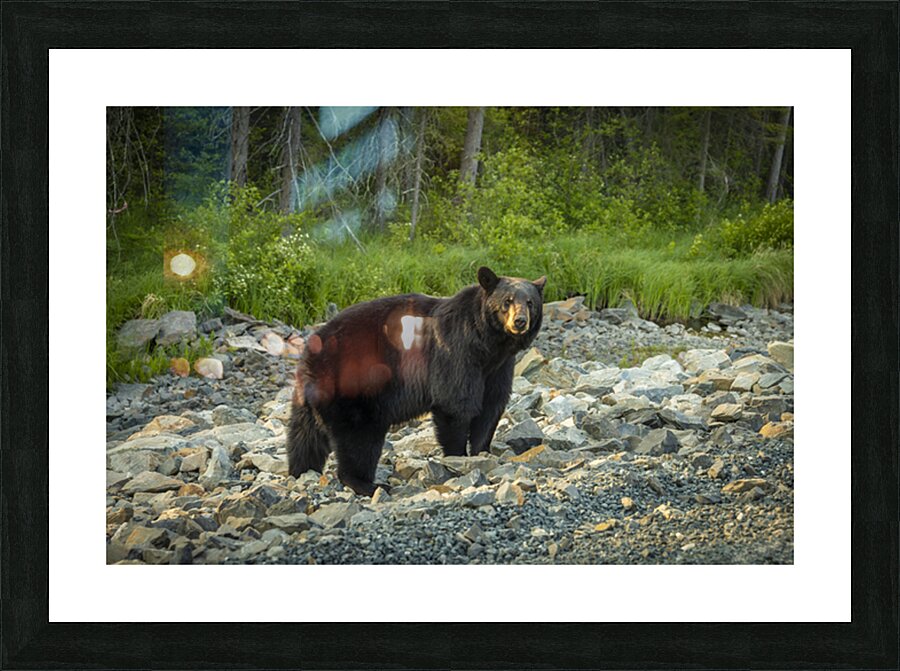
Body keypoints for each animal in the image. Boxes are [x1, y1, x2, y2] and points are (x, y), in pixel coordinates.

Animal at [287, 266, 546, 496]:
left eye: (530, 302)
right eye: (507, 301)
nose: (520, 321)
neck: (487, 344)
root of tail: (310, 356)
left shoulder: (499, 367)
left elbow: (491, 406)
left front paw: (482, 451)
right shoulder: (456, 353)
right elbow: (455, 403)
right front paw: (458, 457)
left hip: (309, 400)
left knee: (305, 439)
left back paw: (301, 471)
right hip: (354, 388)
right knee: (359, 439)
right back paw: (367, 484)